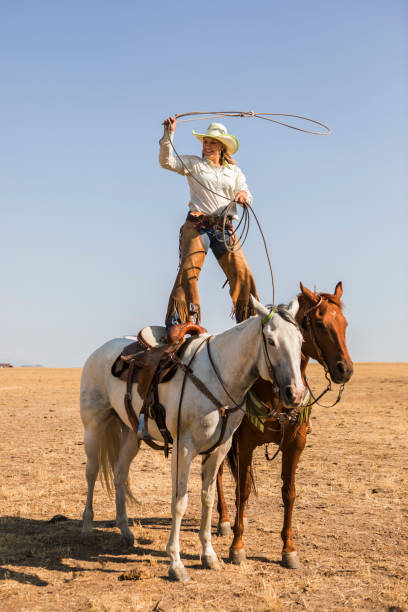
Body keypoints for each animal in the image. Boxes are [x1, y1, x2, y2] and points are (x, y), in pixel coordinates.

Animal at [79, 296, 304, 584]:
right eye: (271, 340)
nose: (295, 393)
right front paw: (176, 564)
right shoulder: (184, 449)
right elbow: (180, 502)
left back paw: (126, 531)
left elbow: (208, 499)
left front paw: (209, 556)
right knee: (92, 472)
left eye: (300, 340)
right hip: (94, 427)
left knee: (119, 473)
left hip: (130, 433)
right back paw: (87, 528)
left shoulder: (220, 449)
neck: (217, 377)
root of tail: (99, 351)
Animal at [215, 282, 352, 568]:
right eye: (320, 324)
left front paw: (288, 549)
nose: (345, 369)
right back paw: (224, 520)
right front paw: (237, 546)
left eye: (345, 324)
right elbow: (243, 490)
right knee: (219, 474)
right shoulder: (245, 442)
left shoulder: (295, 443)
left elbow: (289, 492)